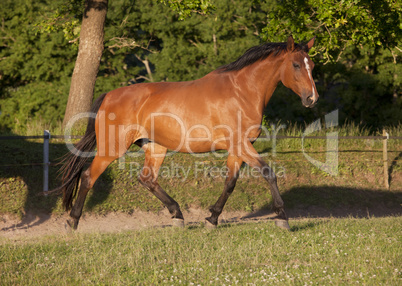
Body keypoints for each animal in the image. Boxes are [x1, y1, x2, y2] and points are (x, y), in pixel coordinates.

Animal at [59, 35, 318, 230]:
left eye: (312, 66)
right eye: (296, 65)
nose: (312, 99)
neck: (241, 92)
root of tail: (109, 96)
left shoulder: (238, 149)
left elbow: (230, 183)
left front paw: (212, 218)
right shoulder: (242, 145)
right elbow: (268, 173)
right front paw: (282, 217)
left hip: (155, 147)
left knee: (147, 179)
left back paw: (178, 215)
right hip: (113, 148)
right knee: (88, 176)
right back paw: (72, 222)